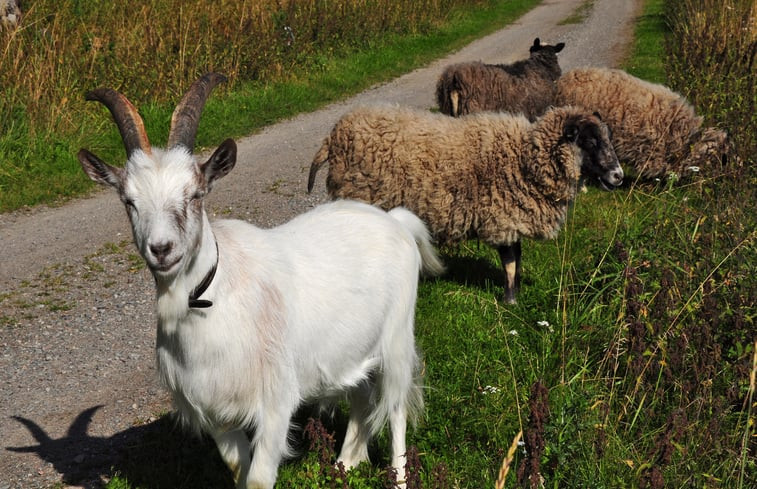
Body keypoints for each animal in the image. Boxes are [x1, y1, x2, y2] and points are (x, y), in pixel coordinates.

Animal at [77, 72, 442, 488]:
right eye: (128, 201)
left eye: (195, 194)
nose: (162, 249)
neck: (212, 298)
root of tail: (395, 220)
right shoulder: (215, 412)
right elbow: (238, 468)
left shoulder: (275, 402)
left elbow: (259, 477)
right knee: (361, 395)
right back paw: (346, 463)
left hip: (397, 338)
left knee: (396, 407)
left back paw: (396, 475)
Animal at [308, 105, 620, 304]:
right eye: (590, 141)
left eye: (607, 138)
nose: (618, 176)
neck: (525, 160)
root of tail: (333, 136)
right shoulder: (501, 217)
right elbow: (510, 260)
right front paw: (510, 301)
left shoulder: (511, 218)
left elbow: (517, 257)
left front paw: (517, 291)